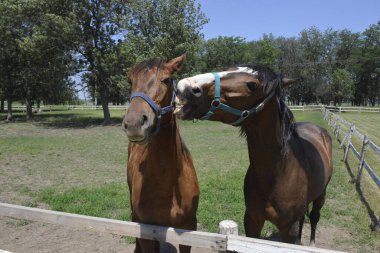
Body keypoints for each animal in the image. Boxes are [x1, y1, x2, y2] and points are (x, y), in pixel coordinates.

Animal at [175, 65, 332, 245]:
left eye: (252, 85)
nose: (185, 86)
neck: (278, 172)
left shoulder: (288, 230)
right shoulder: (252, 220)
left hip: (321, 195)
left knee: (314, 217)